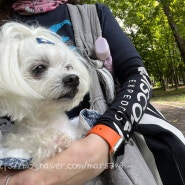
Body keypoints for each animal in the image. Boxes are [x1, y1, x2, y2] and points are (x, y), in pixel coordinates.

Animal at [0, 21, 91, 166]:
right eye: (39, 68)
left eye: (68, 67)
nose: (73, 79)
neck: (47, 121)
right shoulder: (14, 145)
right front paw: (53, 141)